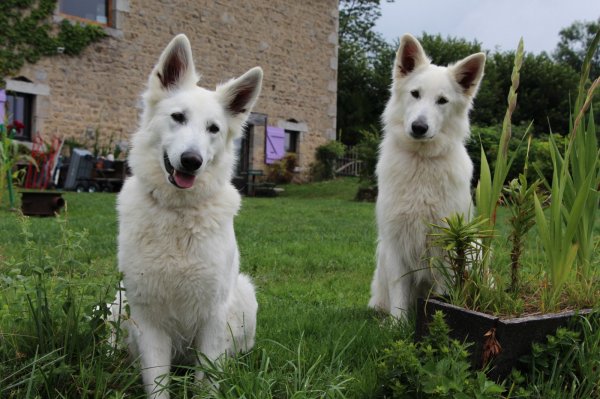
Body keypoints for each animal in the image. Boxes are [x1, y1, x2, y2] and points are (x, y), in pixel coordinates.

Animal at [112, 35, 262, 399]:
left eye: (213, 129)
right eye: (178, 117)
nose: (191, 161)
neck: (179, 213)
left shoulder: (212, 317)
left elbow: (206, 380)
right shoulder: (147, 317)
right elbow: (156, 382)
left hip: (244, 293)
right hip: (118, 302)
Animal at [368, 35, 486, 322]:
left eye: (442, 101)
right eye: (415, 94)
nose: (419, 128)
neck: (421, 163)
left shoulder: (447, 243)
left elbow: (444, 291)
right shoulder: (395, 242)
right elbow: (399, 289)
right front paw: (397, 325)